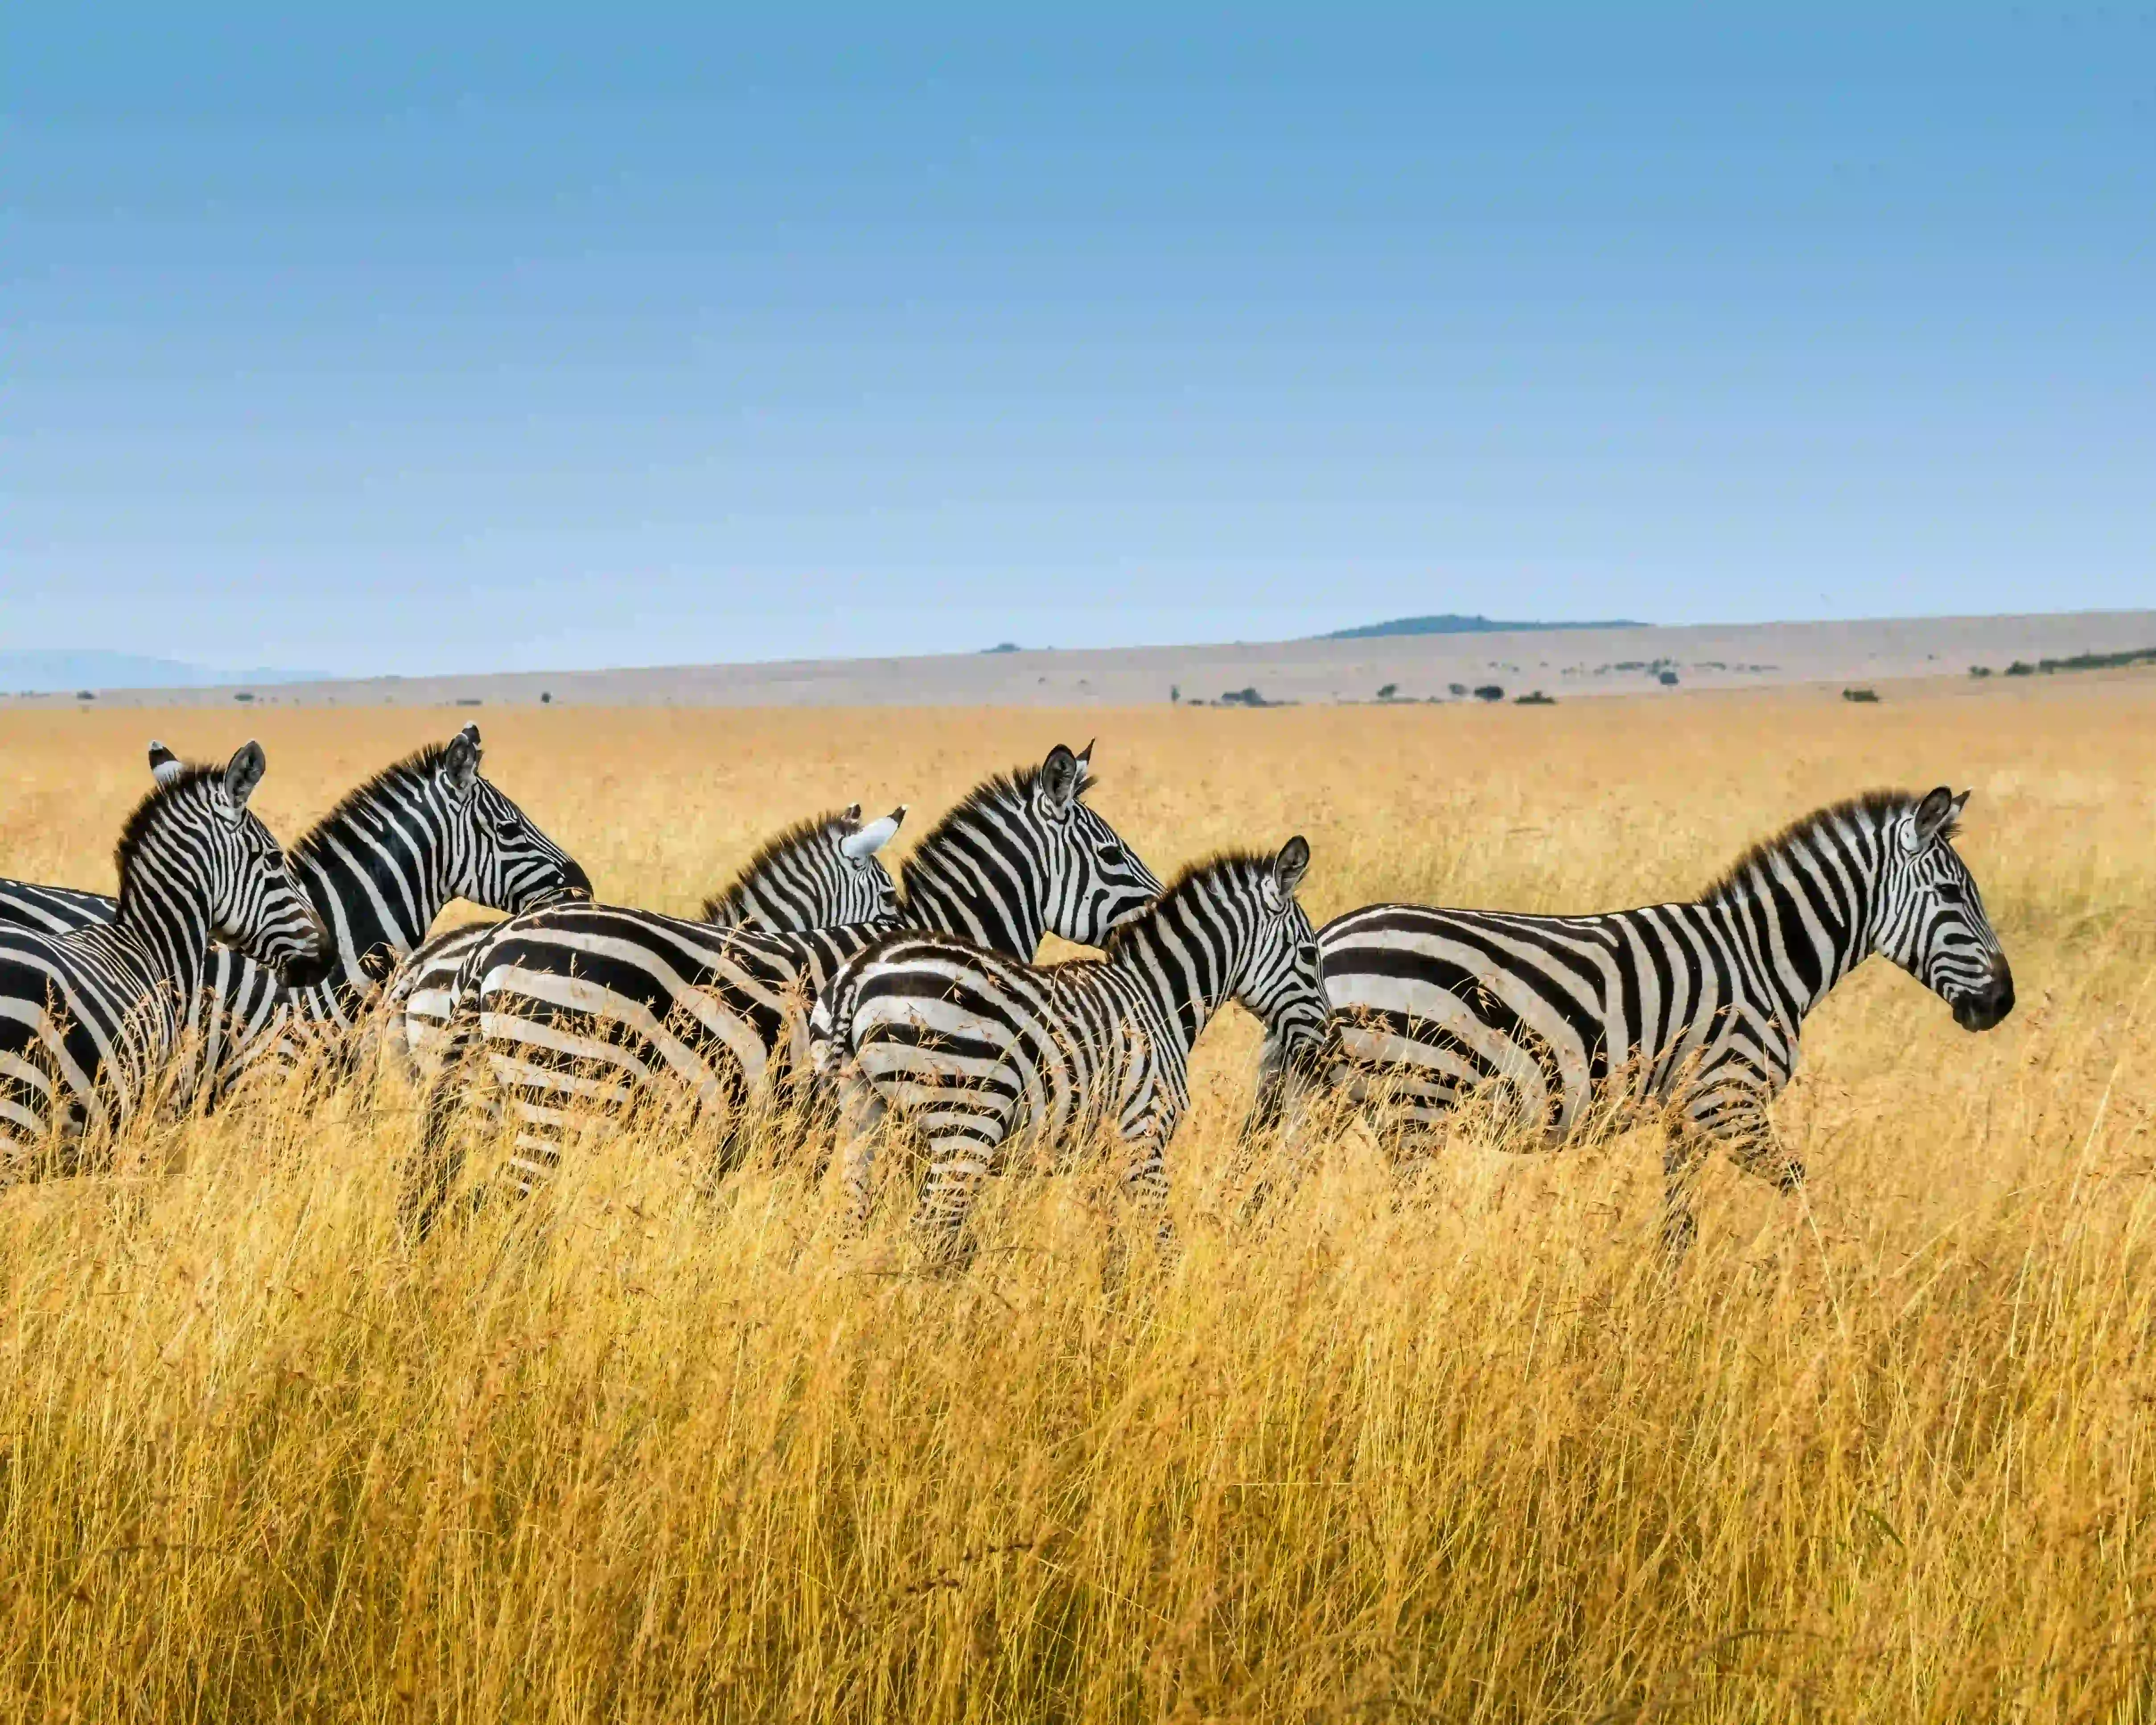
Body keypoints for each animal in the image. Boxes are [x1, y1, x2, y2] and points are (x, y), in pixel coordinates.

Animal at [821, 839, 1325, 1260]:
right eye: (1308, 953)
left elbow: (1114, 1241)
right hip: (965, 1122)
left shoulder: (1102, 1150)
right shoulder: (1143, 1134)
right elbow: (1161, 1238)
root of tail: (862, 972)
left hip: (863, 1114)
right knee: (929, 1231)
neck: (1158, 999)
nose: (1325, 1044)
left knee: (851, 1222)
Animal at [1254, 787, 2015, 1251]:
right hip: (1414, 1101)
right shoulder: (1728, 1100)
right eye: (1954, 895)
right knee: (1400, 1217)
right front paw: (1828, 1281)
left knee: (1265, 1197)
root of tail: (1328, 940)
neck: (1765, 957)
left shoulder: (1687, 1114)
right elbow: (1800, 1186)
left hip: (1322, 1100)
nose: (2002, 1004)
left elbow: (1679, 1225)